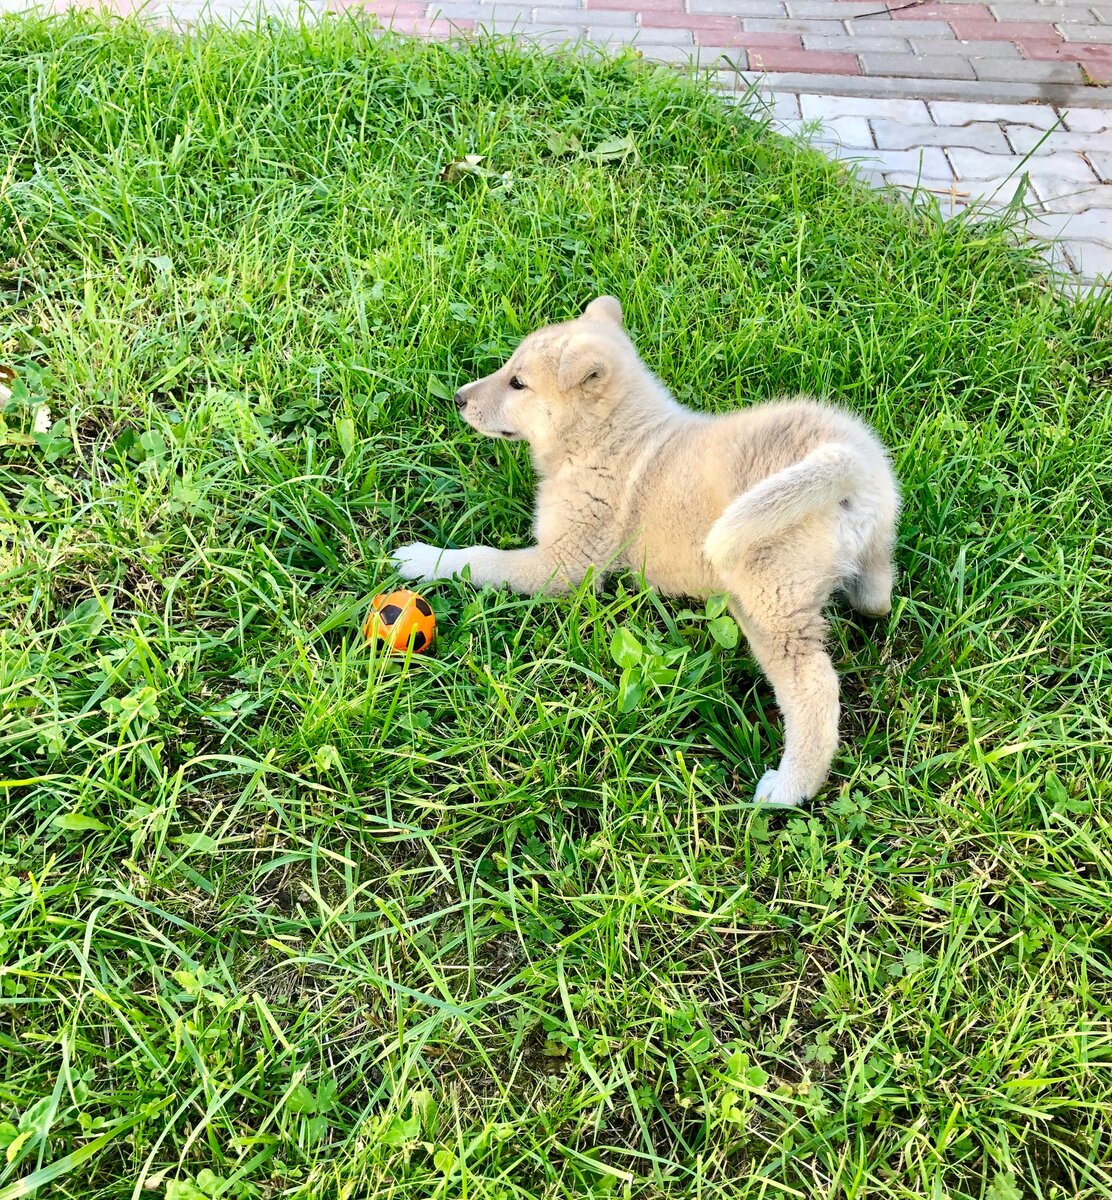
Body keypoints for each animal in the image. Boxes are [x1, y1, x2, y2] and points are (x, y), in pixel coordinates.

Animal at [395, 298, 902, 806]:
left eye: (518, 383)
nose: (459, 398)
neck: (606, 438)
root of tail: (847, 462)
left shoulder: (563, 564)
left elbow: (480, 557)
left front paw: (421, 558)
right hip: (871, 551)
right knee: (878, 598)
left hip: (770, 598)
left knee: (813, 687)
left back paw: (789, 787)